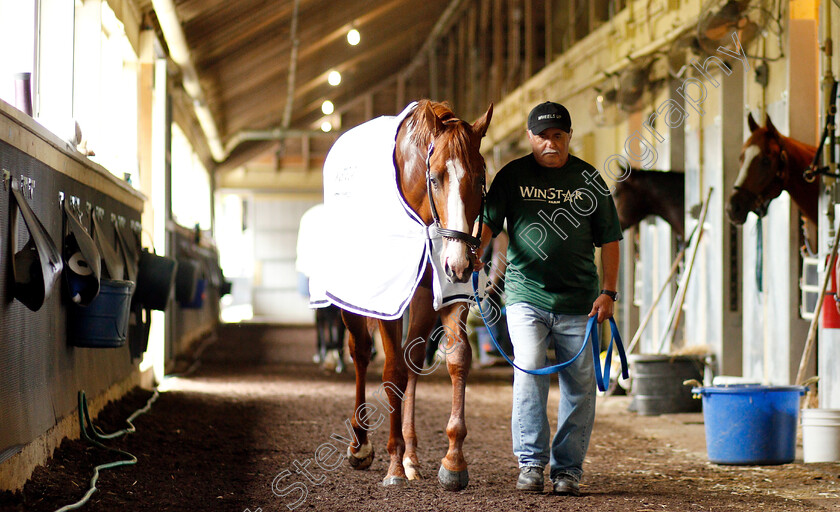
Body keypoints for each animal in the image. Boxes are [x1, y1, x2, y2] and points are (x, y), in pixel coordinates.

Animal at [340, 100, 488, 488]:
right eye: (434, 177)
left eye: (480, 179)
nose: (460, 262)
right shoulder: (385, 303)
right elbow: (391, 372)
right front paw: (392, 465)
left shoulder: (447, 294)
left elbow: (457, 359)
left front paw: (452, 461)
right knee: (361, 351)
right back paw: (361, 444)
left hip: (421, 299)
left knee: (412, 359)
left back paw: (410, 455)